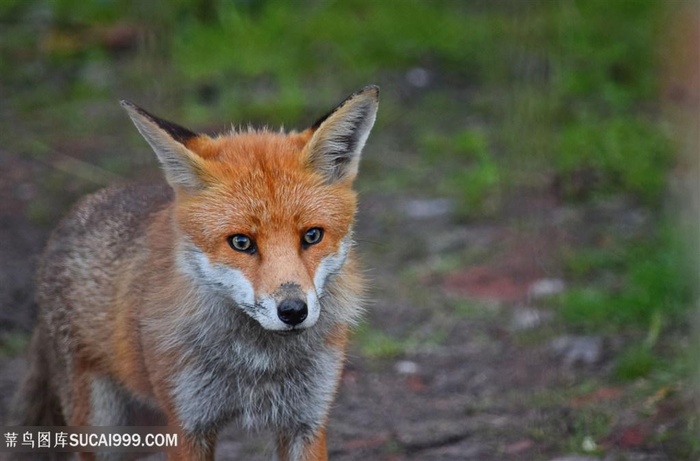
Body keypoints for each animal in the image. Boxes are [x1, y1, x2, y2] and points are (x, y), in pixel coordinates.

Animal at [8, 83, 380, 460]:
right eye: (241, 242)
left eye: (312, 236)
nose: (293, 311)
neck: (258, 363)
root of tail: (73, 214)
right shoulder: (187, 423)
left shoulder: (306, 420)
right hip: (106, 429)